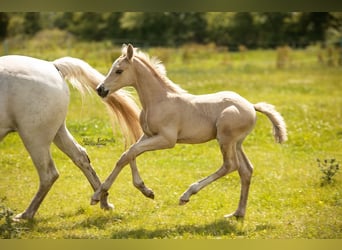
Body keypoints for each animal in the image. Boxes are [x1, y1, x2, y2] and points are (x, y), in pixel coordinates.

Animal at [93, 44, 286, 218]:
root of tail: (251, 106)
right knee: (246, 170)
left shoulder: (167, 140)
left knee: (230, 165)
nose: (100, 89)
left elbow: (130, 152)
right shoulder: (147, 135)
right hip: (236, 143)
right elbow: (127, 155)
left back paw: (187, 195)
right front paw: (142, 191)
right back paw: (237, 213)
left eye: (119, 71)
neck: (159, 100)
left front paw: (101, 194)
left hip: (225, 139)